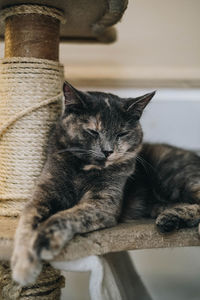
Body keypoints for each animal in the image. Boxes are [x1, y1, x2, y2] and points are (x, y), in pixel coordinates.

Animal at [11, 81, 200, 286]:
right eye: (93, 131)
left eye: (122, 133)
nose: (108, 151)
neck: (83, 171)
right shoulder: (43, 195)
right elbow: (26, 224)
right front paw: (23, 268)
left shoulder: (102, 203)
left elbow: (63, 217)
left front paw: (44, 241)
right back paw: (169, 219)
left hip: (175, 178)